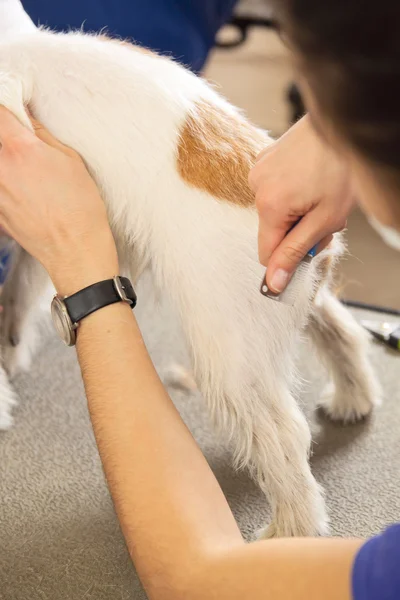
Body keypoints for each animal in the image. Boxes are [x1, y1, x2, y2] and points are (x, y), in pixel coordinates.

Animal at [0, 0, 382, 540]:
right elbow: (17, 294)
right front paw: (10, 350)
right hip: (293, 299)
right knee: (344, 332)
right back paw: (353, 399)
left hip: (233, 355)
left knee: (284, 436)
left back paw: (289, 531)